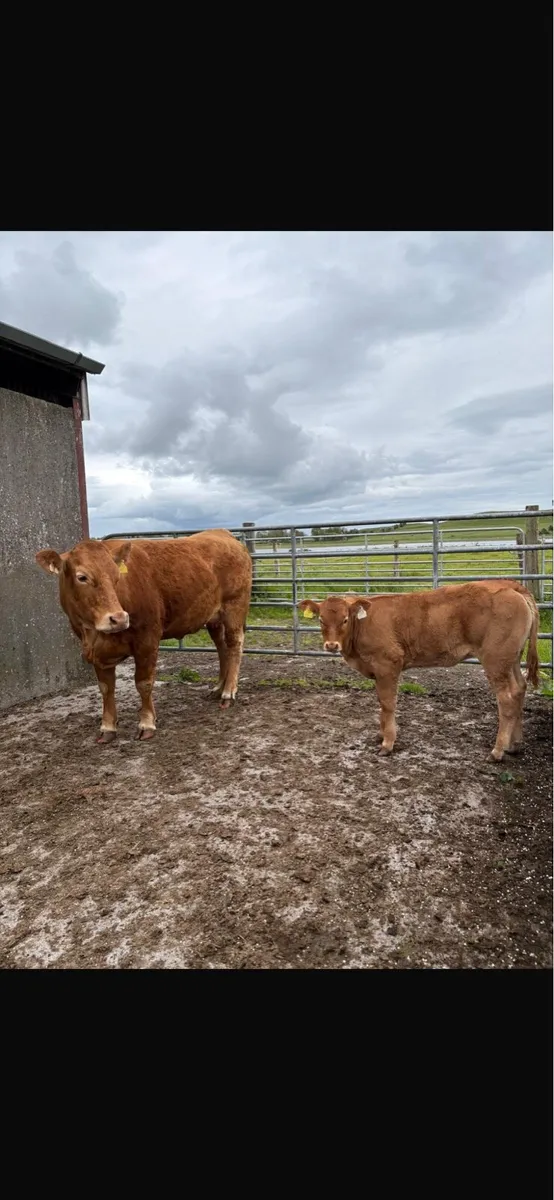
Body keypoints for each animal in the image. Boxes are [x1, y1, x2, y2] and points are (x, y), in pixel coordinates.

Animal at [35, 530, 252, 743]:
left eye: (116, 576)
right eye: (82, 577)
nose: (119, 619)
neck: (93, 634)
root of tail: (225, 535)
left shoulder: (147, 641)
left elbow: (144, 683)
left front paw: (147, 724)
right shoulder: (98, 653)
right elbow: (106, 688)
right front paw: (107, 727)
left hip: (235, 606)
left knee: (234, 645)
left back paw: (228, 693)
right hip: (213, 619)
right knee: (221, 648)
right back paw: (218, 688)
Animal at [298, 579, 540, 761]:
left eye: (345, 619)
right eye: (321, 619)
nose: (331, 645)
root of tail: (509, 584)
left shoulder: (388, 665)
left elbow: (388, 703)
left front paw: (387, 743)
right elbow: (380, 703)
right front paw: (380, 735)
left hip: (496, 660)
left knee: (506, 699)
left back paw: (497, 751)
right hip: (512, 659)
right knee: (519, 689)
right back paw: (514, 744)